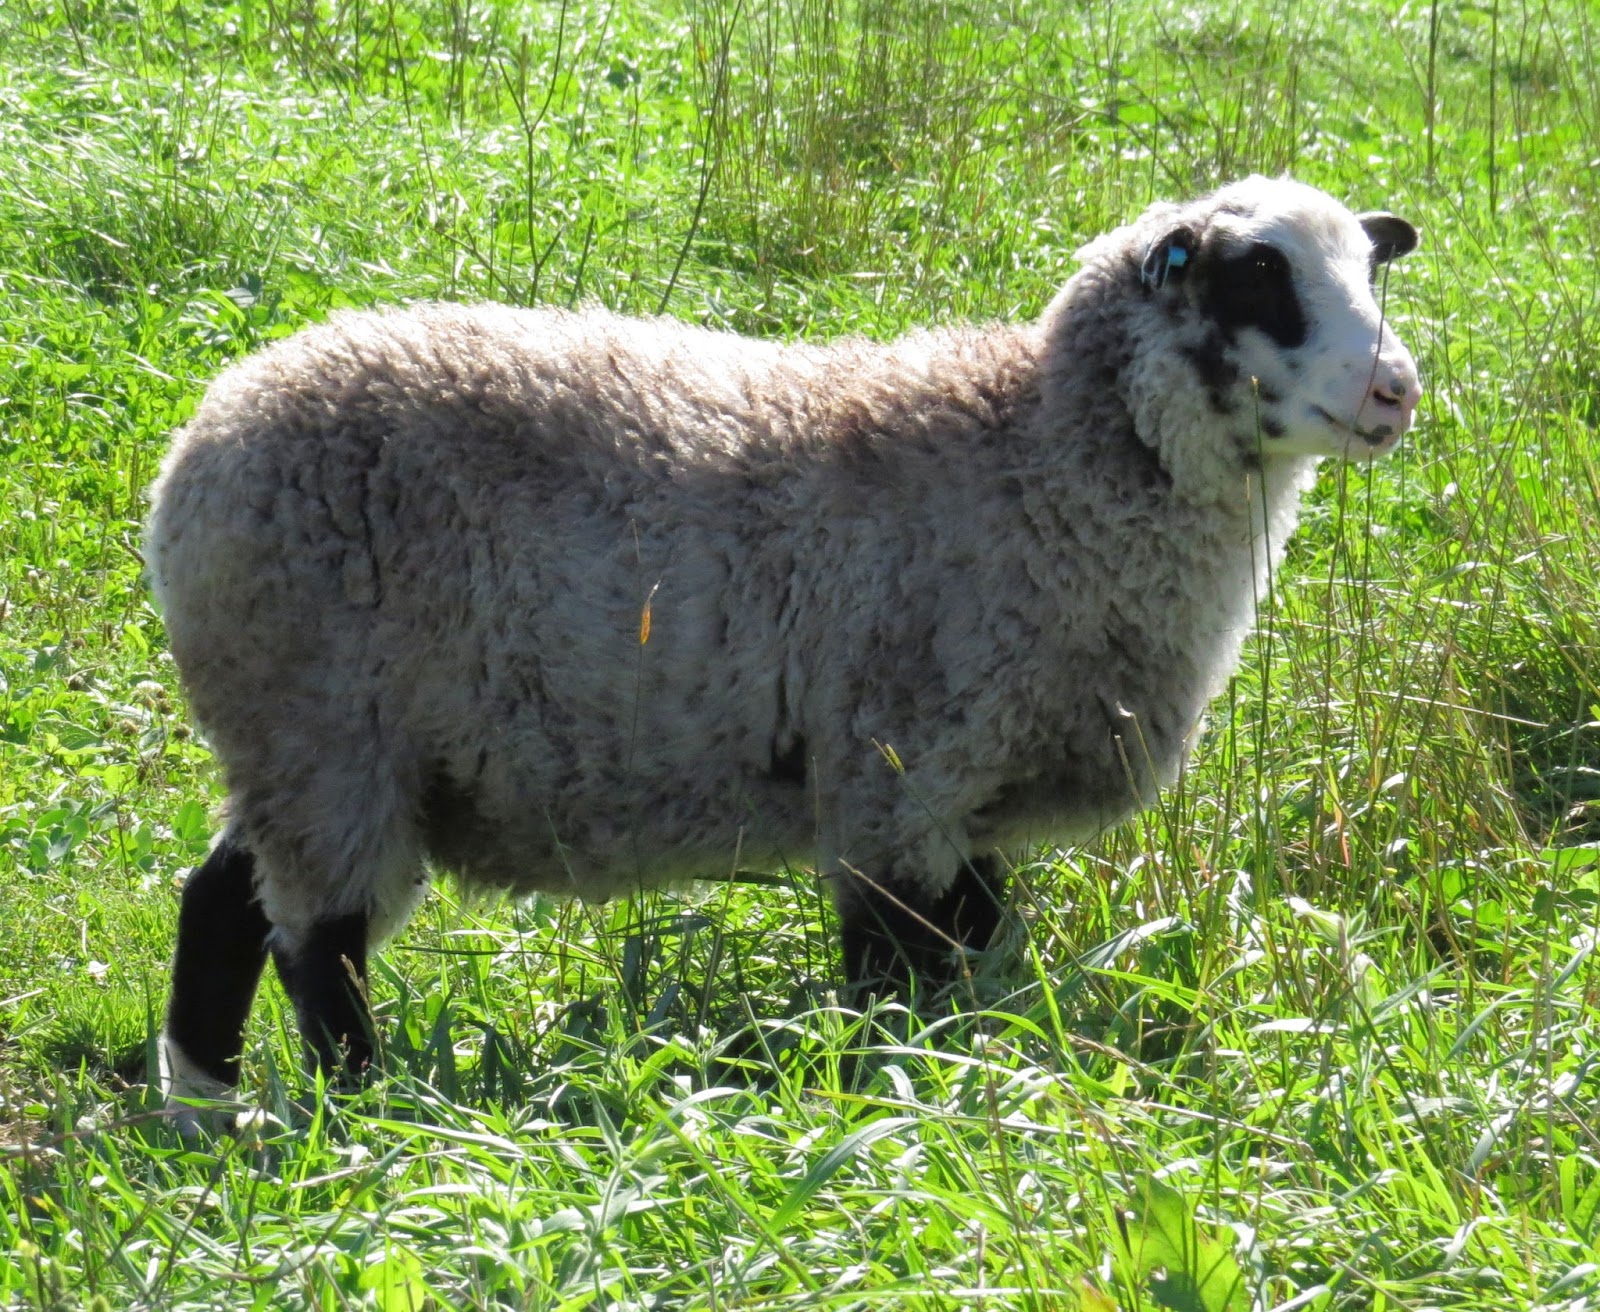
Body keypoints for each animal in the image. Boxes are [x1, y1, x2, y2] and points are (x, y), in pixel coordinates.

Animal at [148, 174, 1421, 1123]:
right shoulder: (892, 771)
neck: (1031, 456)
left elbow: (977, 951)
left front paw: (983, 1064)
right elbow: (892, 971)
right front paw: (891, 1096)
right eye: (1258, 275)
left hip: (311, 744)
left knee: (223, 899)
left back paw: (207, 1107)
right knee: (318, 944)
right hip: (323, 726)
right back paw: (364, 1113)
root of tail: (200, 442)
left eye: (1369, 270)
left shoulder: (966, 792)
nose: (1395, 390)